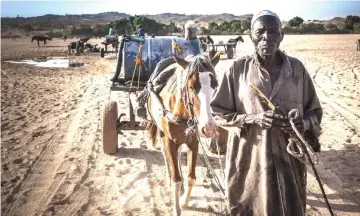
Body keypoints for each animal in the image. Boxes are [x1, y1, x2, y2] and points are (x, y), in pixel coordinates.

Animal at [146, 53, 219, 215]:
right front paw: (177, 207)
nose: (209, 128)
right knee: (165, 153)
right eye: (191, 86)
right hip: (161, 132)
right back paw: (169, 175)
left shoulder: (194, 142)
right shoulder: (170, 141)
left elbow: (191, 177)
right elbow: (176, 180)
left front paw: (184, 202)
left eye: (215, 85)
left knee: (179, 154)